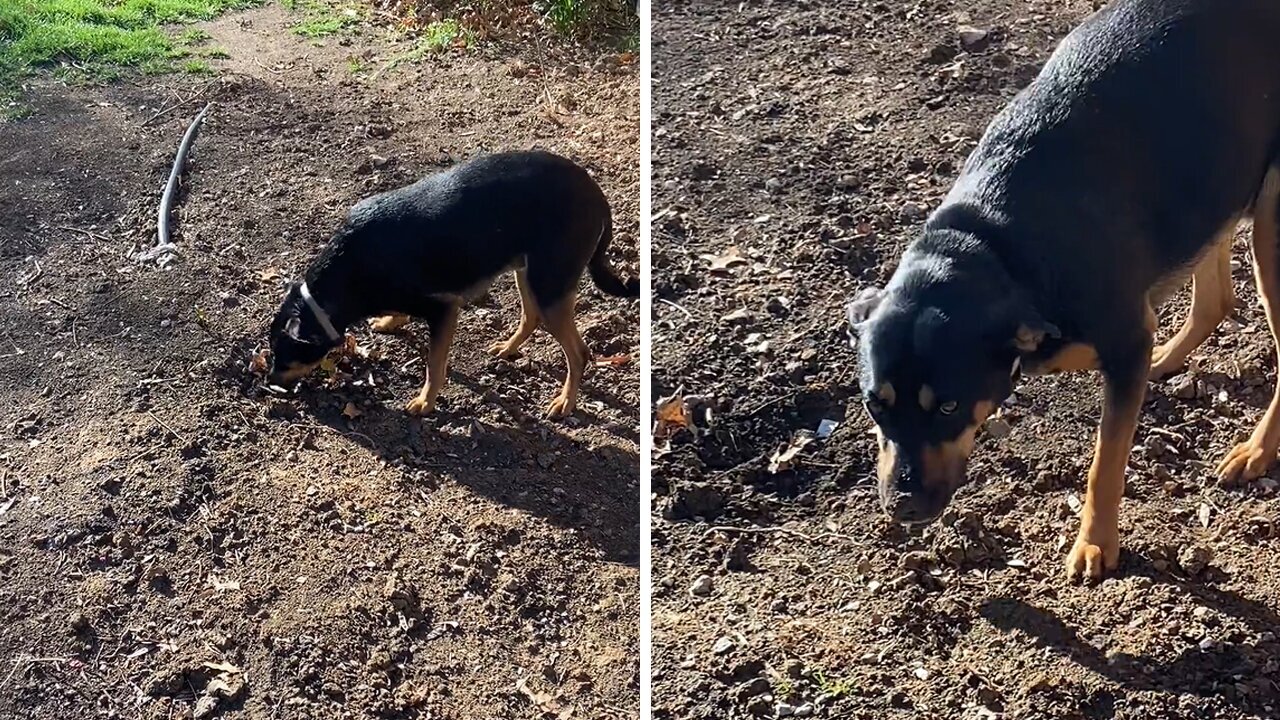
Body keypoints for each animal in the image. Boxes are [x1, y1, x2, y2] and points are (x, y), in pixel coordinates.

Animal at [266, 151, 640, 420]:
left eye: (284, 355)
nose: (268, 381)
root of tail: (596, 194)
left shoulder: (443, 308)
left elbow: (434, 364)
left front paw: (424, 403)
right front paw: (390, 321)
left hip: (549, 283)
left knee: (579, 353)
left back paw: (564, 403)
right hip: (528, 272)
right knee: (530, 316)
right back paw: (507, 348)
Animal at [844, 0, 1280, 579]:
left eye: (949, 407)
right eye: (874, 404)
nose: (903, 507)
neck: (990, 242)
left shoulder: (1123, 340)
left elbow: (1105, 460)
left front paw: (1095, 543)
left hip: (1271, 223)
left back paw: (1256, 451)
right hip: (1216, 185)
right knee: (1215, 302)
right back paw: (1167, 359)